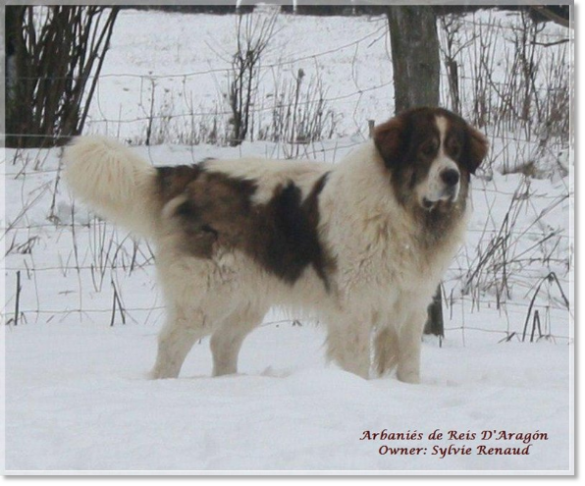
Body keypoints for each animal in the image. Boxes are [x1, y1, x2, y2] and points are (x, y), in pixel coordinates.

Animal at [64, 107, 486, 384]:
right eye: (426, 150)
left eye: (455, 151)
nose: (451, 176)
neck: (403, 209)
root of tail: (193, 173)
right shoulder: (355, 308)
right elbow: (357, 363)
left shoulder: (410, 305)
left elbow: (409, 363)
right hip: (205, 294)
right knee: (172, 343)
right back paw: (166, 385)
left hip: (247, 296)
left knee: (222, 343)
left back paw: (230, 386)